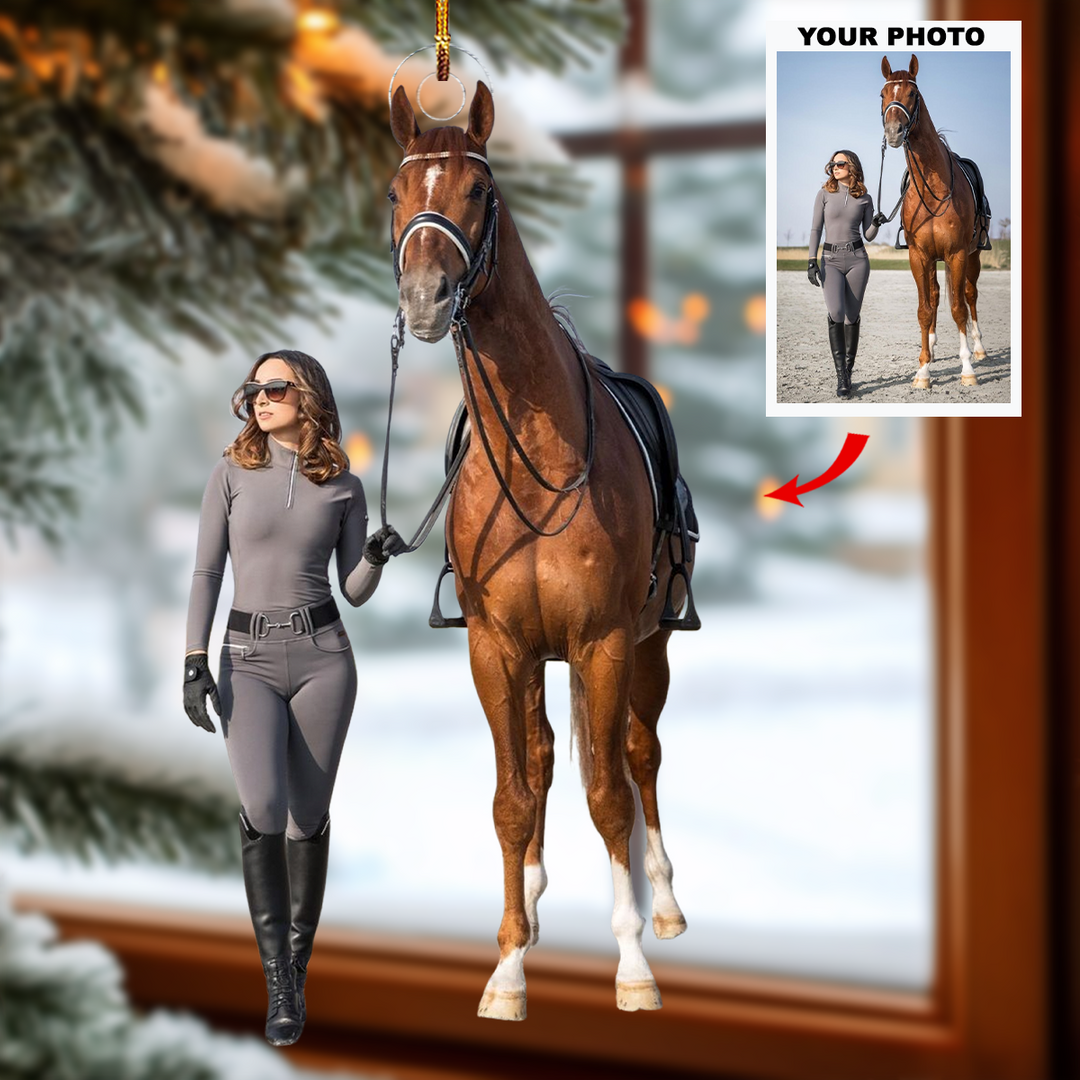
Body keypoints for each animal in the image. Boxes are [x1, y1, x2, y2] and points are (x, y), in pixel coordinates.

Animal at [387, 82, 694, 1020]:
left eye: (479, 190)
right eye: (395, 191)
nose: (424, 297)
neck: (538, 460)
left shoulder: (603, 642)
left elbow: (609, 793)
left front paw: (632, 965)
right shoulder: (498, 648)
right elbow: (513, 797)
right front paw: (509, 965)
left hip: (648, 647)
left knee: (636, 757)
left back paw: (662, 905)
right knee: (549, 757)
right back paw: (531, 895)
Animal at [880, 54, 990, 389]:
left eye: (912, 93)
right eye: (882, 94)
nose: (893, 131)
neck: (934, 190)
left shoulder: (956, 254)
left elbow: (958, 309)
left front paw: (967, 368)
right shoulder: (920, 256)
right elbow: (925, 309)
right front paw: (923, 369)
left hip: (973, 257)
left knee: (969, 297)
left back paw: (978, 349)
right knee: (937, 296)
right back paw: (931, 344)